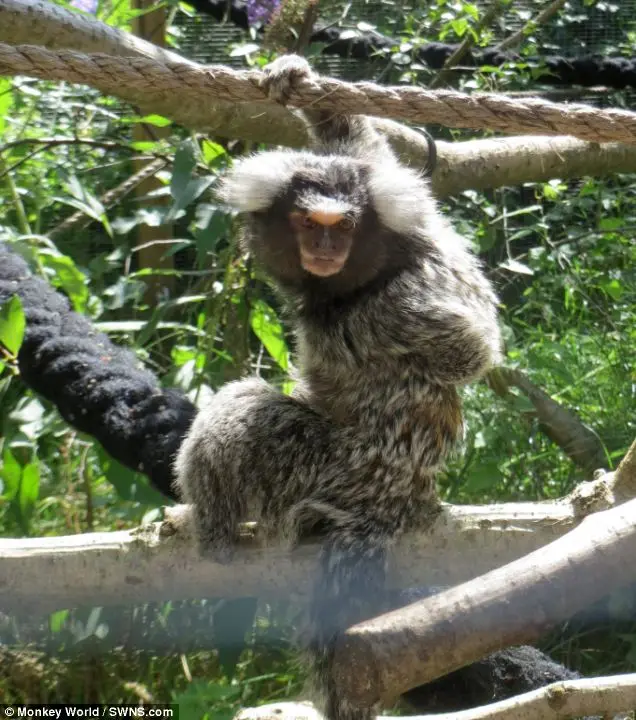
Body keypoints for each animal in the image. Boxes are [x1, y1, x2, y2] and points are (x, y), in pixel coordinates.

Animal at [174, 56, 502, 720]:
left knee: (243, 415)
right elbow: (362, 145)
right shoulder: (424, 218)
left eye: (342, 226)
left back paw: (215, 532)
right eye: (307, 222)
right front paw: (299, 81)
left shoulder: (417, 286)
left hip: (340, 472)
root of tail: (400, 504)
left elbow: (470, 347)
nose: (324, 247)